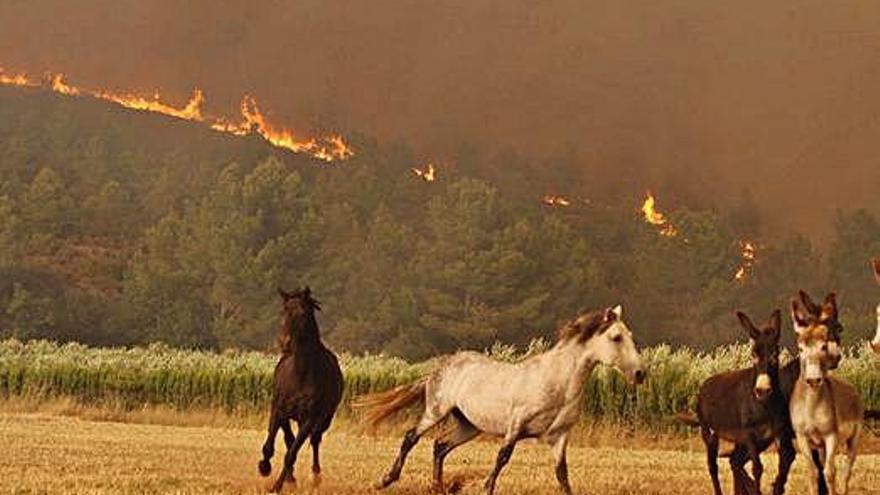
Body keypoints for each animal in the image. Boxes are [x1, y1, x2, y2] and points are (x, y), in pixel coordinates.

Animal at [258, 288, 344, 494]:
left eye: (303, 313)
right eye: (284, 311)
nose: (285, 342)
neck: (300, 374)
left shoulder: (309, 419)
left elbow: (292, 454)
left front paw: (276, 486)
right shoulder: (278, 410)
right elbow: (271, 446)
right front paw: (264, 468)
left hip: (324, 420)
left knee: (314, 441)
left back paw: (315, 477)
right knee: (289, 439)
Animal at [350, 306, 648, 495]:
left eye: (630, 336)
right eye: (616, 337)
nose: (640, 374)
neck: (558, 383)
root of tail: (440, 367)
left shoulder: (559, 436)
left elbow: (562, 475)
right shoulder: (516, 426)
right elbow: (502, 458)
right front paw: (486, 488)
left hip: (469, 425)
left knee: (440, 445)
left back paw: (438, 487)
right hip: (436, 410)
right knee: (411, 437)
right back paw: (386, 480)